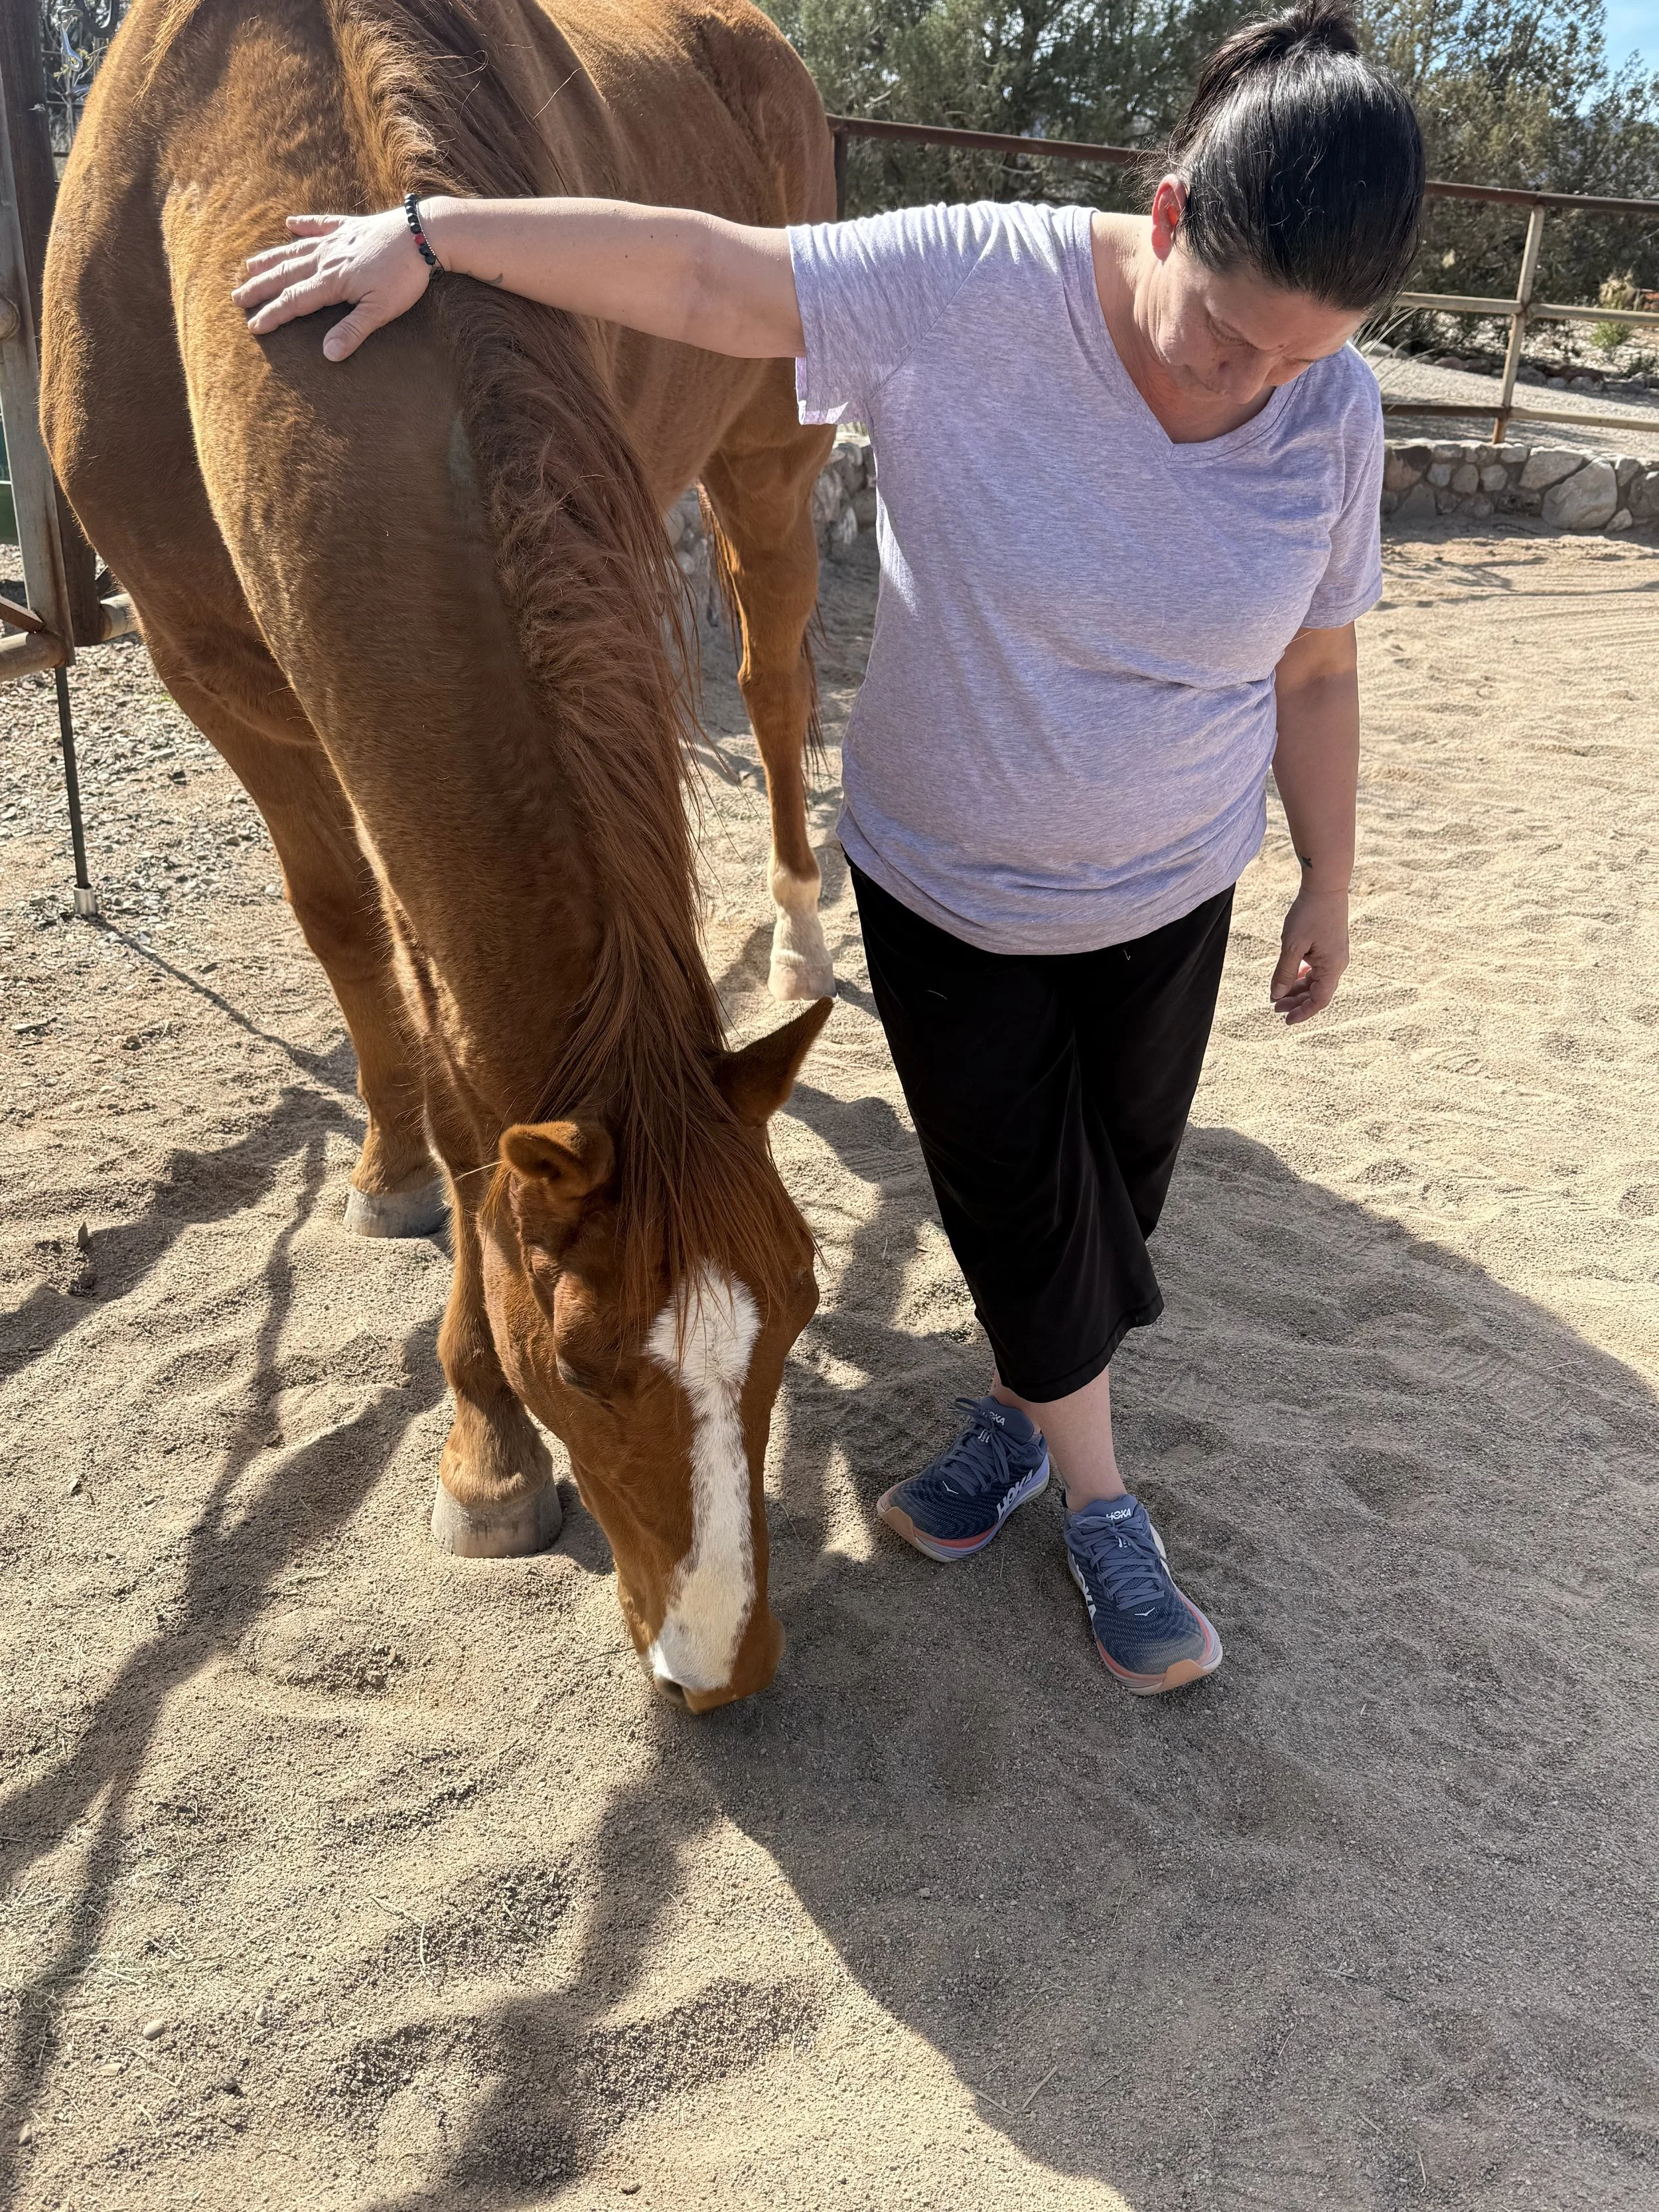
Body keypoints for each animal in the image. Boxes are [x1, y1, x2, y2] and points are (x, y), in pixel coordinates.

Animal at [41, 0, 841, 1710]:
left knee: (773, 679)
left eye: (799, 1313)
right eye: (586, 1366)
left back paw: (805, 934)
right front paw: (403, 1186)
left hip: (766, 462)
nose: (726, 1665)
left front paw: (477, 1438)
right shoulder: (218, 678)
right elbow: (357, 936)